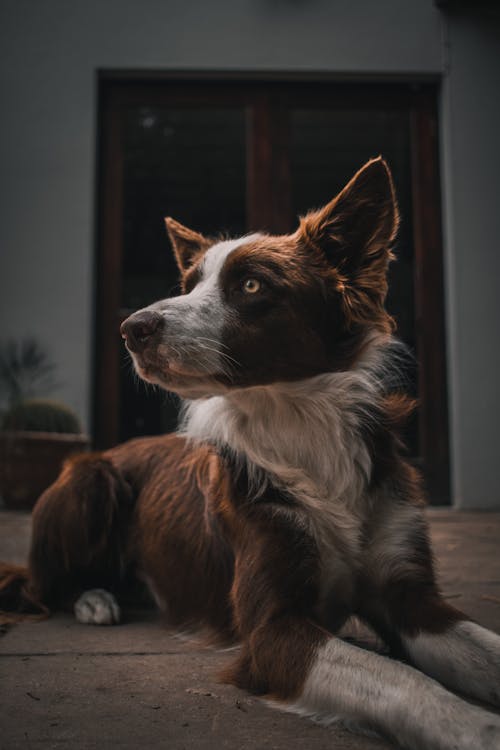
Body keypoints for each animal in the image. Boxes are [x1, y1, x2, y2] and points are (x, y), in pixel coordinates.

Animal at [2, 157, 500, 748]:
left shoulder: (411, 596)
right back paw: (95, 599)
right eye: (189, 284)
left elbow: (479, 651)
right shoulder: (271, 629)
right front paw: (478, 728)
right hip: (89, 479)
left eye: (251, 284)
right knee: (38, 585)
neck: (297, 421)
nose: (131, 329)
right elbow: (402, 681)